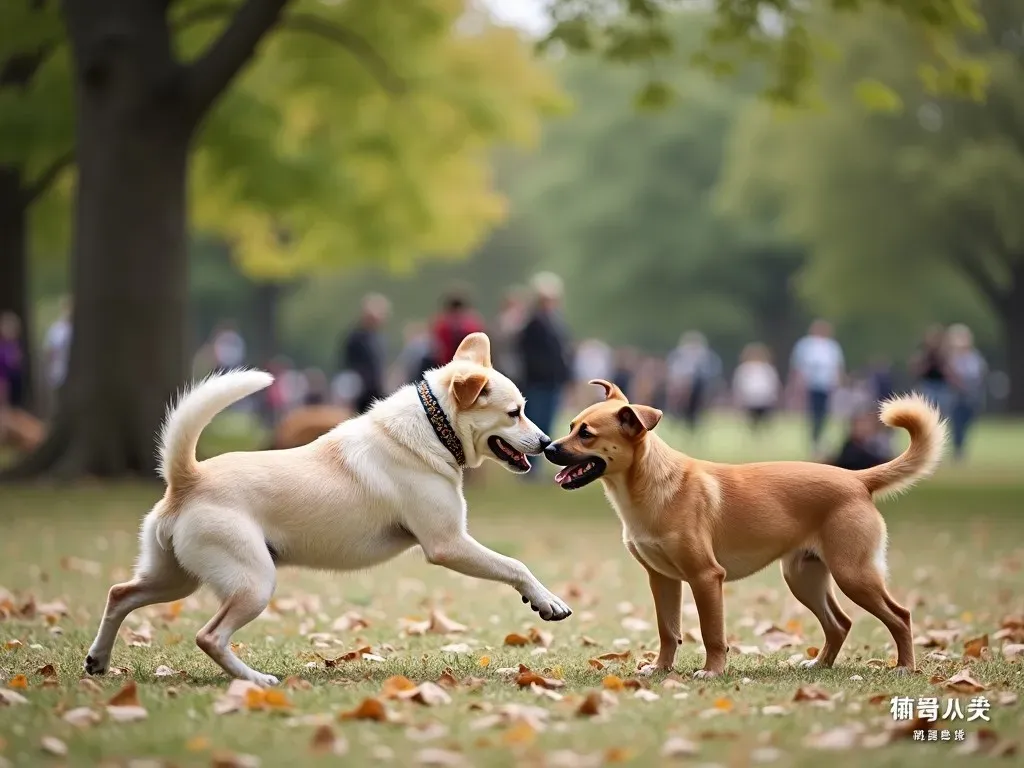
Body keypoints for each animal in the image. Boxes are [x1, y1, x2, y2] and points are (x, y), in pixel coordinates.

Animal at [83, 333, 573, 688]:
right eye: (514, 413)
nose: (548, 443)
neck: (434, 429)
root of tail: (188, 478)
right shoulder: (448, 544)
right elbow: (515, 565)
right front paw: (547, 601)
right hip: (253, 582)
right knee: (209, 636)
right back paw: (257, 680)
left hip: (174, 578)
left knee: (120, 594)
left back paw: (98, 661)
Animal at [544, 380, 942, 679]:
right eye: (571, 427)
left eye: (586, 434)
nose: (547, 447)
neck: (653, 486)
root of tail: (858, 479)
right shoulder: (663, 580)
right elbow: (668, 631)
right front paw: (660, 669)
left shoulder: (706, 577)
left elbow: (711, 632)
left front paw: (712, 671)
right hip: (804, 577)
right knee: (840, 623)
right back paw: (819, 665)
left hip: (853, 574)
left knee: (900, 616)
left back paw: (905, 667)